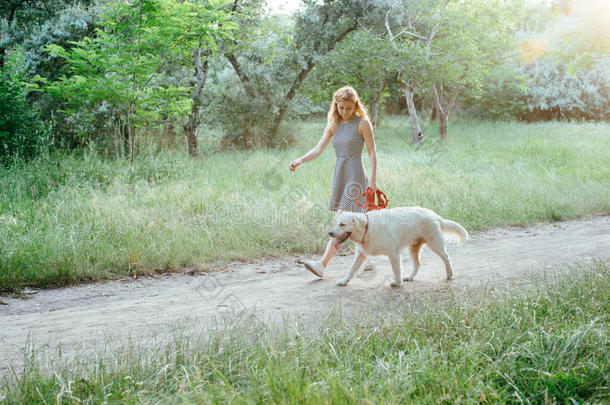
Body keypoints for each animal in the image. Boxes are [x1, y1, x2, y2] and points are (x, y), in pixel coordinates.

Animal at [328, 205, 466, 288]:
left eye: (342, 224)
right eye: (335, 224)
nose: (330, 233)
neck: (367, 228)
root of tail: (434, 215)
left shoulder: (393, 253)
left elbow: (396, 269)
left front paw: (397, 282)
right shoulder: (360, 255)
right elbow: (351, 270)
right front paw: (344, 281)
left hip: (435, 244)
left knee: (446, 257)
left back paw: (449, 274)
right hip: (413, 248)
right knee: (417, 264)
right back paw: (410, 277)